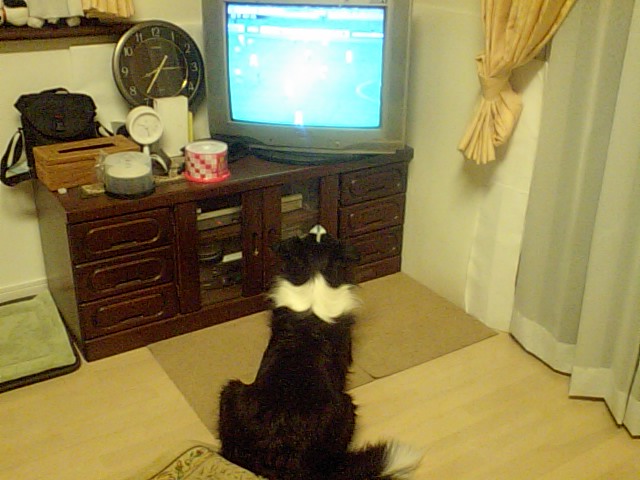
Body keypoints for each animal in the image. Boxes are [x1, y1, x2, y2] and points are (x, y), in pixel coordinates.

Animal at [218, 225, 422, 479]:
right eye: (318, 237)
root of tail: (283, 460)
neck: (314, 276)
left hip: (231, 393)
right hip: (346, 406)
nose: (318, 226)